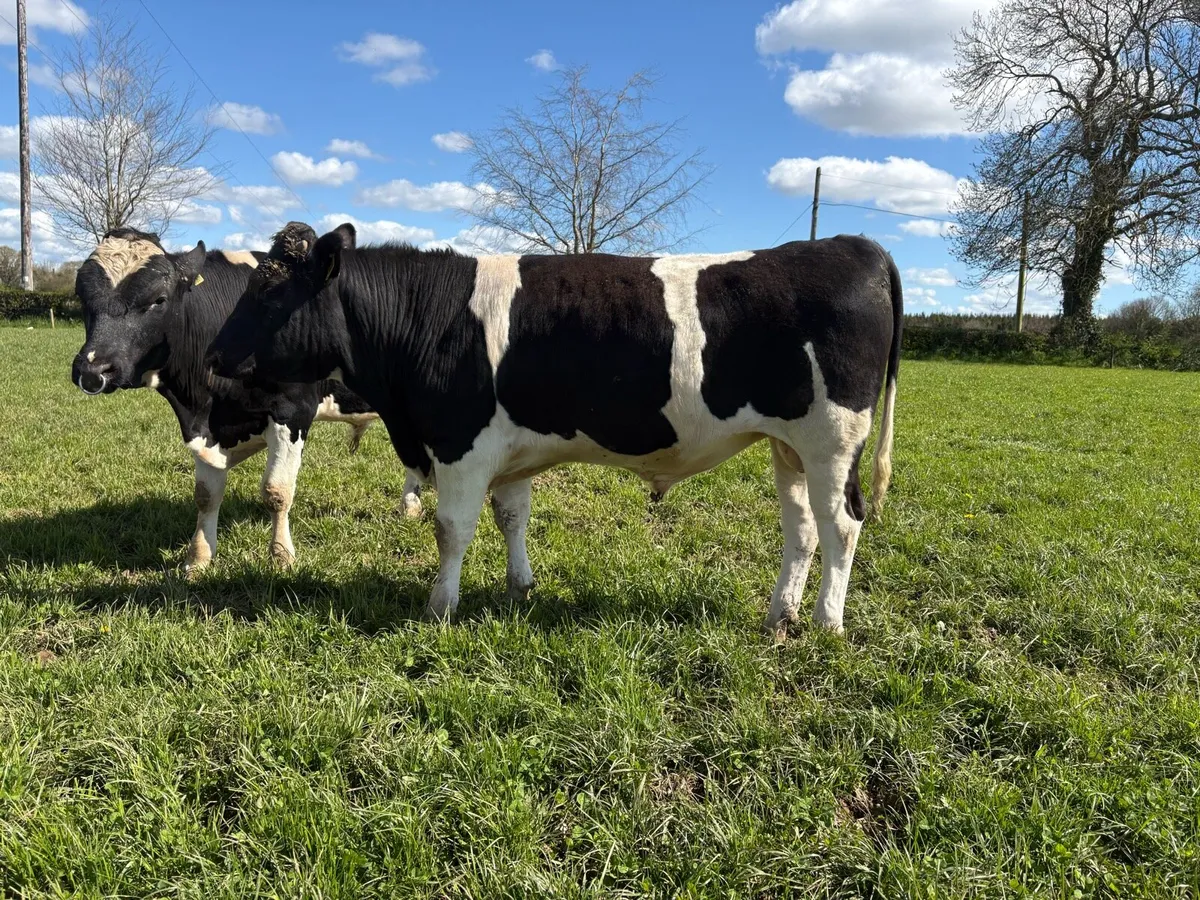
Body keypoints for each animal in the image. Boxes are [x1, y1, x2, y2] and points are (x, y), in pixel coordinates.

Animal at [70, 227, 425, 572]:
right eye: (81, 296)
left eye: (159, 299)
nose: (93, 370)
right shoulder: (207, 426)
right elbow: (205, 496)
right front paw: (198, 558)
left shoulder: (292, 413)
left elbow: (276, 491)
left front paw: (281, 556)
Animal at [206, 222, 901, 635]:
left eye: (271, 291)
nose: (211, 354)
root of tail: (852, 244)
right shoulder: (507, 451)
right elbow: (512, 517)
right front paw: (520, 587)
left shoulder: (460, 444)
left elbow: (452, 529)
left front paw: (439, 606)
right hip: (790, 447)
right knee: (802, 528)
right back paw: (781, 613)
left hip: (833, 443)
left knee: (842, 525)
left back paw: (827, 623)